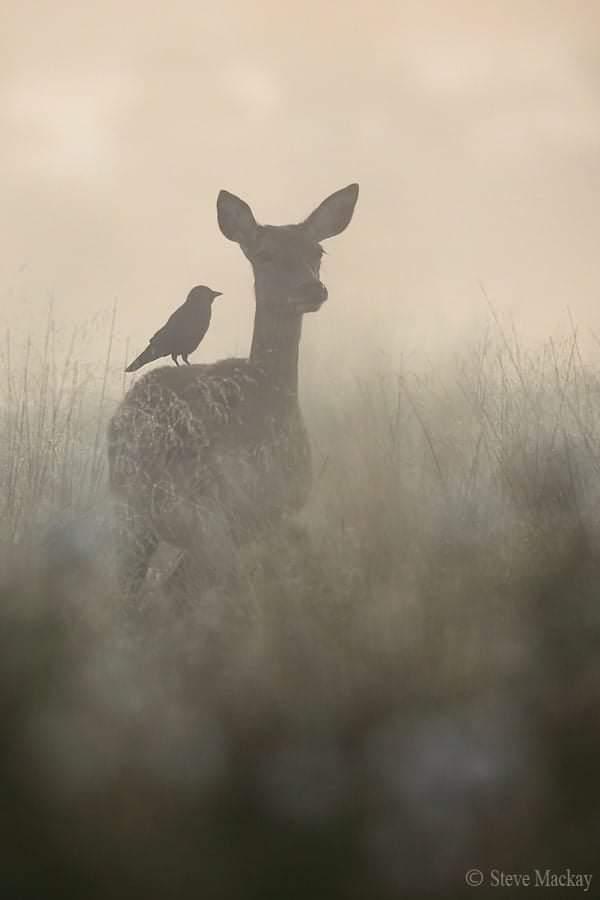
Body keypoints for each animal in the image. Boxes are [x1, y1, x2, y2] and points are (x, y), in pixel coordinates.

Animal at [107, 183, 358, 596]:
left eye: (317, 251)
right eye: (265, 253)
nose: (313, 289)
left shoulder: (272, 515)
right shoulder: (221, 517)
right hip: (160, 513)